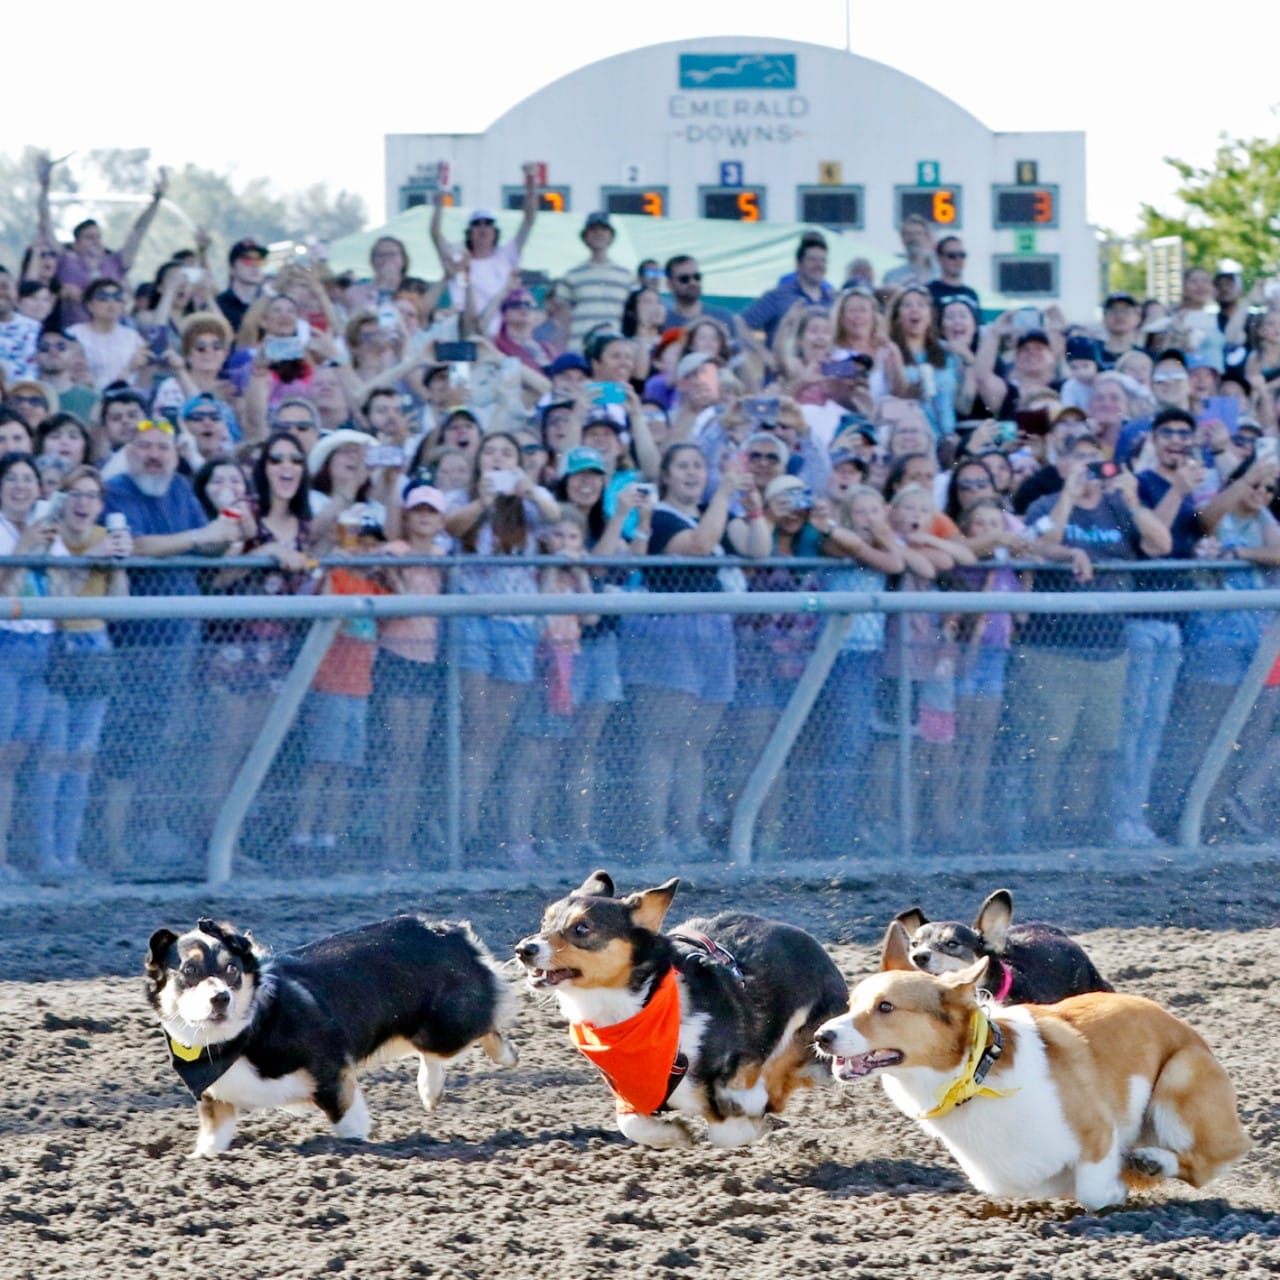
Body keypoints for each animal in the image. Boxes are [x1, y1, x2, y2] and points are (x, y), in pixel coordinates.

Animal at [145, 916, 514, 1157]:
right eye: (189, 971)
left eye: (232, 970)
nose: (221, 998)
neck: (245, 1033)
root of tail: (450, 931)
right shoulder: (217, 1102)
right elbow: (212, 1141)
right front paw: (201, 1160)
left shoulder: (333, 1076)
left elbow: (349, 1125)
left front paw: (355, 1147)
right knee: (432, 1055)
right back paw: (430, 1091)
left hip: (446, 1029)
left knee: (485, 1026)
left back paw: (507, 1056)